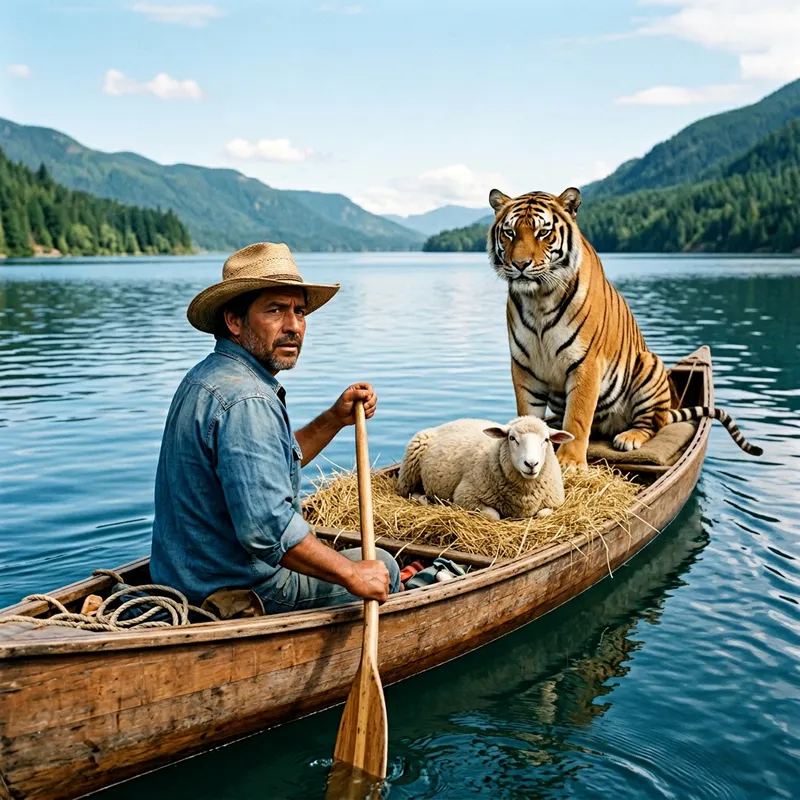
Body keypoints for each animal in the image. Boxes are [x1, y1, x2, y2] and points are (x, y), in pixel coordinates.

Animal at [396, 416, 575, 520]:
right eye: (512, 438)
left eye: (546, 440)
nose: (531, 464)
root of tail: (447, 423)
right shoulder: (465, 496)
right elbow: (494, 515)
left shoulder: (555, 502)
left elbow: (543, 514)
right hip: (409, 470)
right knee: (408, 492)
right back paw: (424, 499)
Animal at [487, 186, 763, 468]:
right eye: (510, 232)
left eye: (542, 232)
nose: (520, 265)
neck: (539, 298)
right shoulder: (524, 365)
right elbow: (528, 413)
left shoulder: (585, 362)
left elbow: (577, 417)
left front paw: (570, 462)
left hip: (649, 366)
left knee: (651, 424)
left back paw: (629, 437)